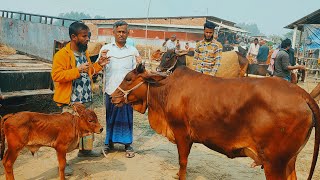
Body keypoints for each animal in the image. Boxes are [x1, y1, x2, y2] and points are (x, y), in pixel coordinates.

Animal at [110, 64, 320, 179]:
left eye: (128, 78)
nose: (112, 97)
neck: (165, 90)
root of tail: (301, 94)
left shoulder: (181, 133)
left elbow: (183, 162)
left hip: (274, 163)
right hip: (288, 161)